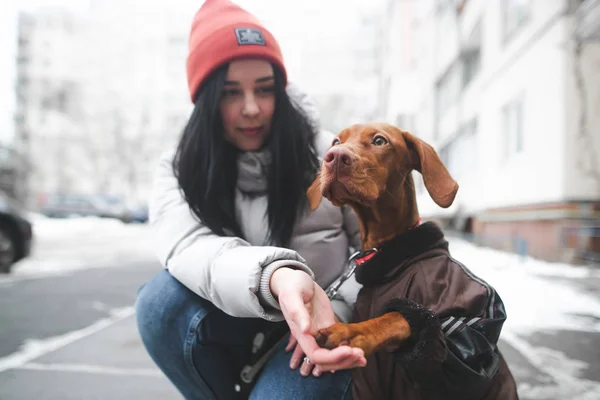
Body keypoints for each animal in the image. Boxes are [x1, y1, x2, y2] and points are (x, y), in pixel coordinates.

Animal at [308, 122, 516, 400]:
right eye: (336, 141)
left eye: (379, 140)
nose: (334, 157)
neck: (389, 258)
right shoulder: (366, 386)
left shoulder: (475, 330)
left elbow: (400, 316)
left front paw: (352, 332)